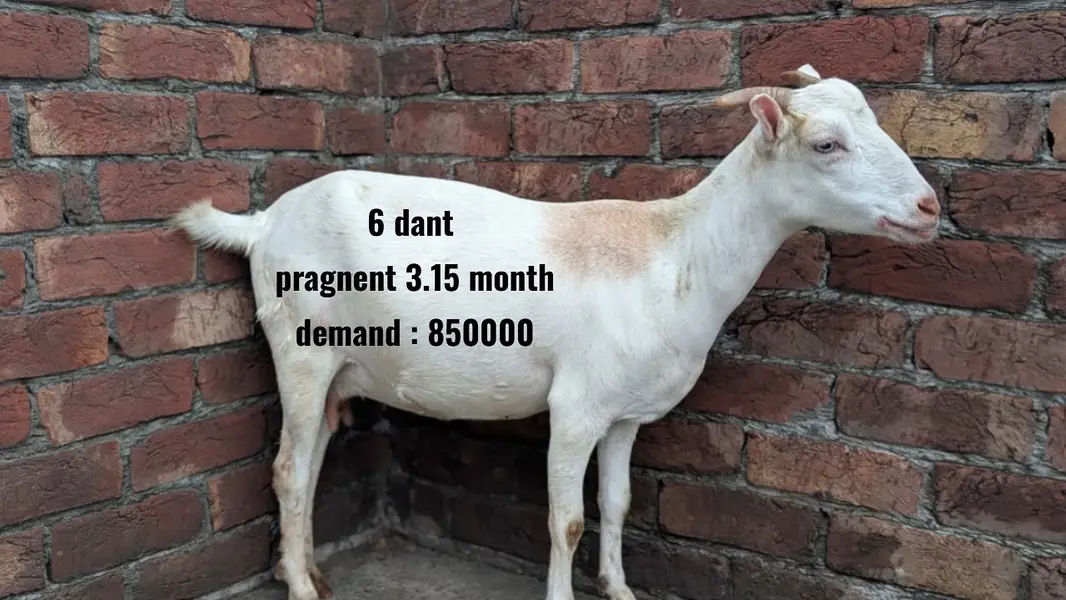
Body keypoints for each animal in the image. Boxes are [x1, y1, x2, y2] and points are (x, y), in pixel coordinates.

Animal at [171, 64, 940, 600]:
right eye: (826, 144)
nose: (930, 207)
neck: (673, 252)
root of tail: (263, 223)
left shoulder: (626, 414)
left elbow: (617, 503)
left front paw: (621, 589)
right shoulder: (576, 405)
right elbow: (566, 519)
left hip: (339, 367)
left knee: (311, 462)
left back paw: (304, 569)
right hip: (298, 350)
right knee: (287, 469)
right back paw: (301, 586)